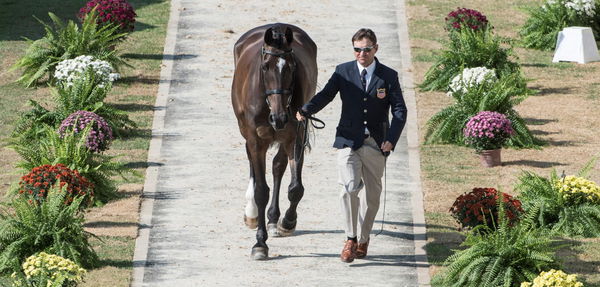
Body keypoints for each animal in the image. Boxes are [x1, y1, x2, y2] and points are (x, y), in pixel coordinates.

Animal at [232, 23, 318, 260]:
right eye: (265, 67)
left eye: (291, 67)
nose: (278, 118)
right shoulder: (255, 140)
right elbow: (261, 190)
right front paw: (260, 244)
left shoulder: (296, 135)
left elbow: (295, 187)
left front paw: (287, 222)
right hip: (247, 132)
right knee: (253, 164)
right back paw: (252, 213)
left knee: (278, 166)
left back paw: (272, 218)